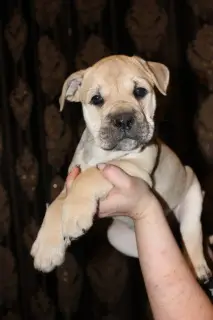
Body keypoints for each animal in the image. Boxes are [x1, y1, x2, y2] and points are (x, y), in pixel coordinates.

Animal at [31, 56, 211, 282]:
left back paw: (199, 268)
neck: (103, 151)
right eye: (96, 99)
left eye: (140, 91)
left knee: (191, 235)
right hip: (118, 237)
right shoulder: (70, 180)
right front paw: (46, 248)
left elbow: (91, 175)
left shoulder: (135, 167)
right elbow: (56, 204)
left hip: (193, 195)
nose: (124, 119)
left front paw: (74, 213)